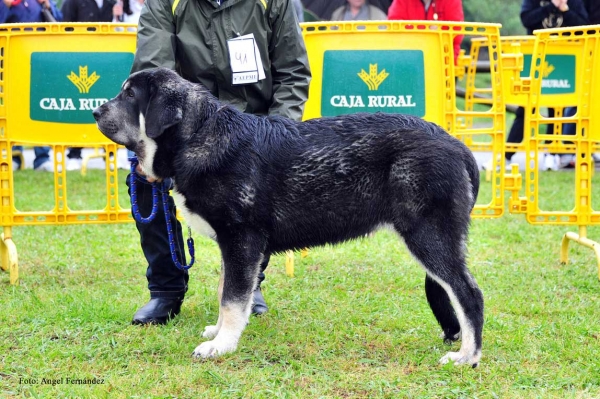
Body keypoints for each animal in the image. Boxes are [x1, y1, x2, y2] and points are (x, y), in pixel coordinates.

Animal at [95, 68, 488, 366]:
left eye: (129, 96)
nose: (96, 112)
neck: (198, 136)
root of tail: (459, 146)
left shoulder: (241, 239)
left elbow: (232, 299)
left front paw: (221, 346)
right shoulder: (232, 246)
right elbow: (226, 293)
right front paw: (219, 332)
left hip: (429, 236)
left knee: (469, 294)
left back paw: (467, 356)